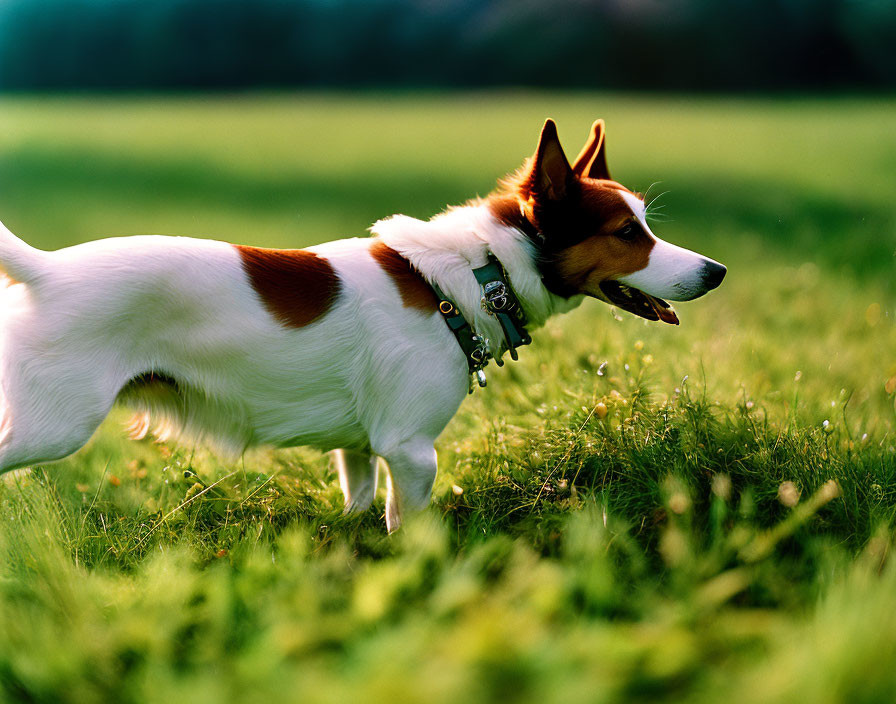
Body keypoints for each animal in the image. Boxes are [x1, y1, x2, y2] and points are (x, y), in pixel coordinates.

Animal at [0, 119, 724, 528]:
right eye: (628, 233)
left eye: (644, 224)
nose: (717, 271)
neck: (472, 274)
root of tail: (44, 270)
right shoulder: (412, 451)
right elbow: (412, 531)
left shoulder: (363, 451)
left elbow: (359, 511)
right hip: (54, 426)